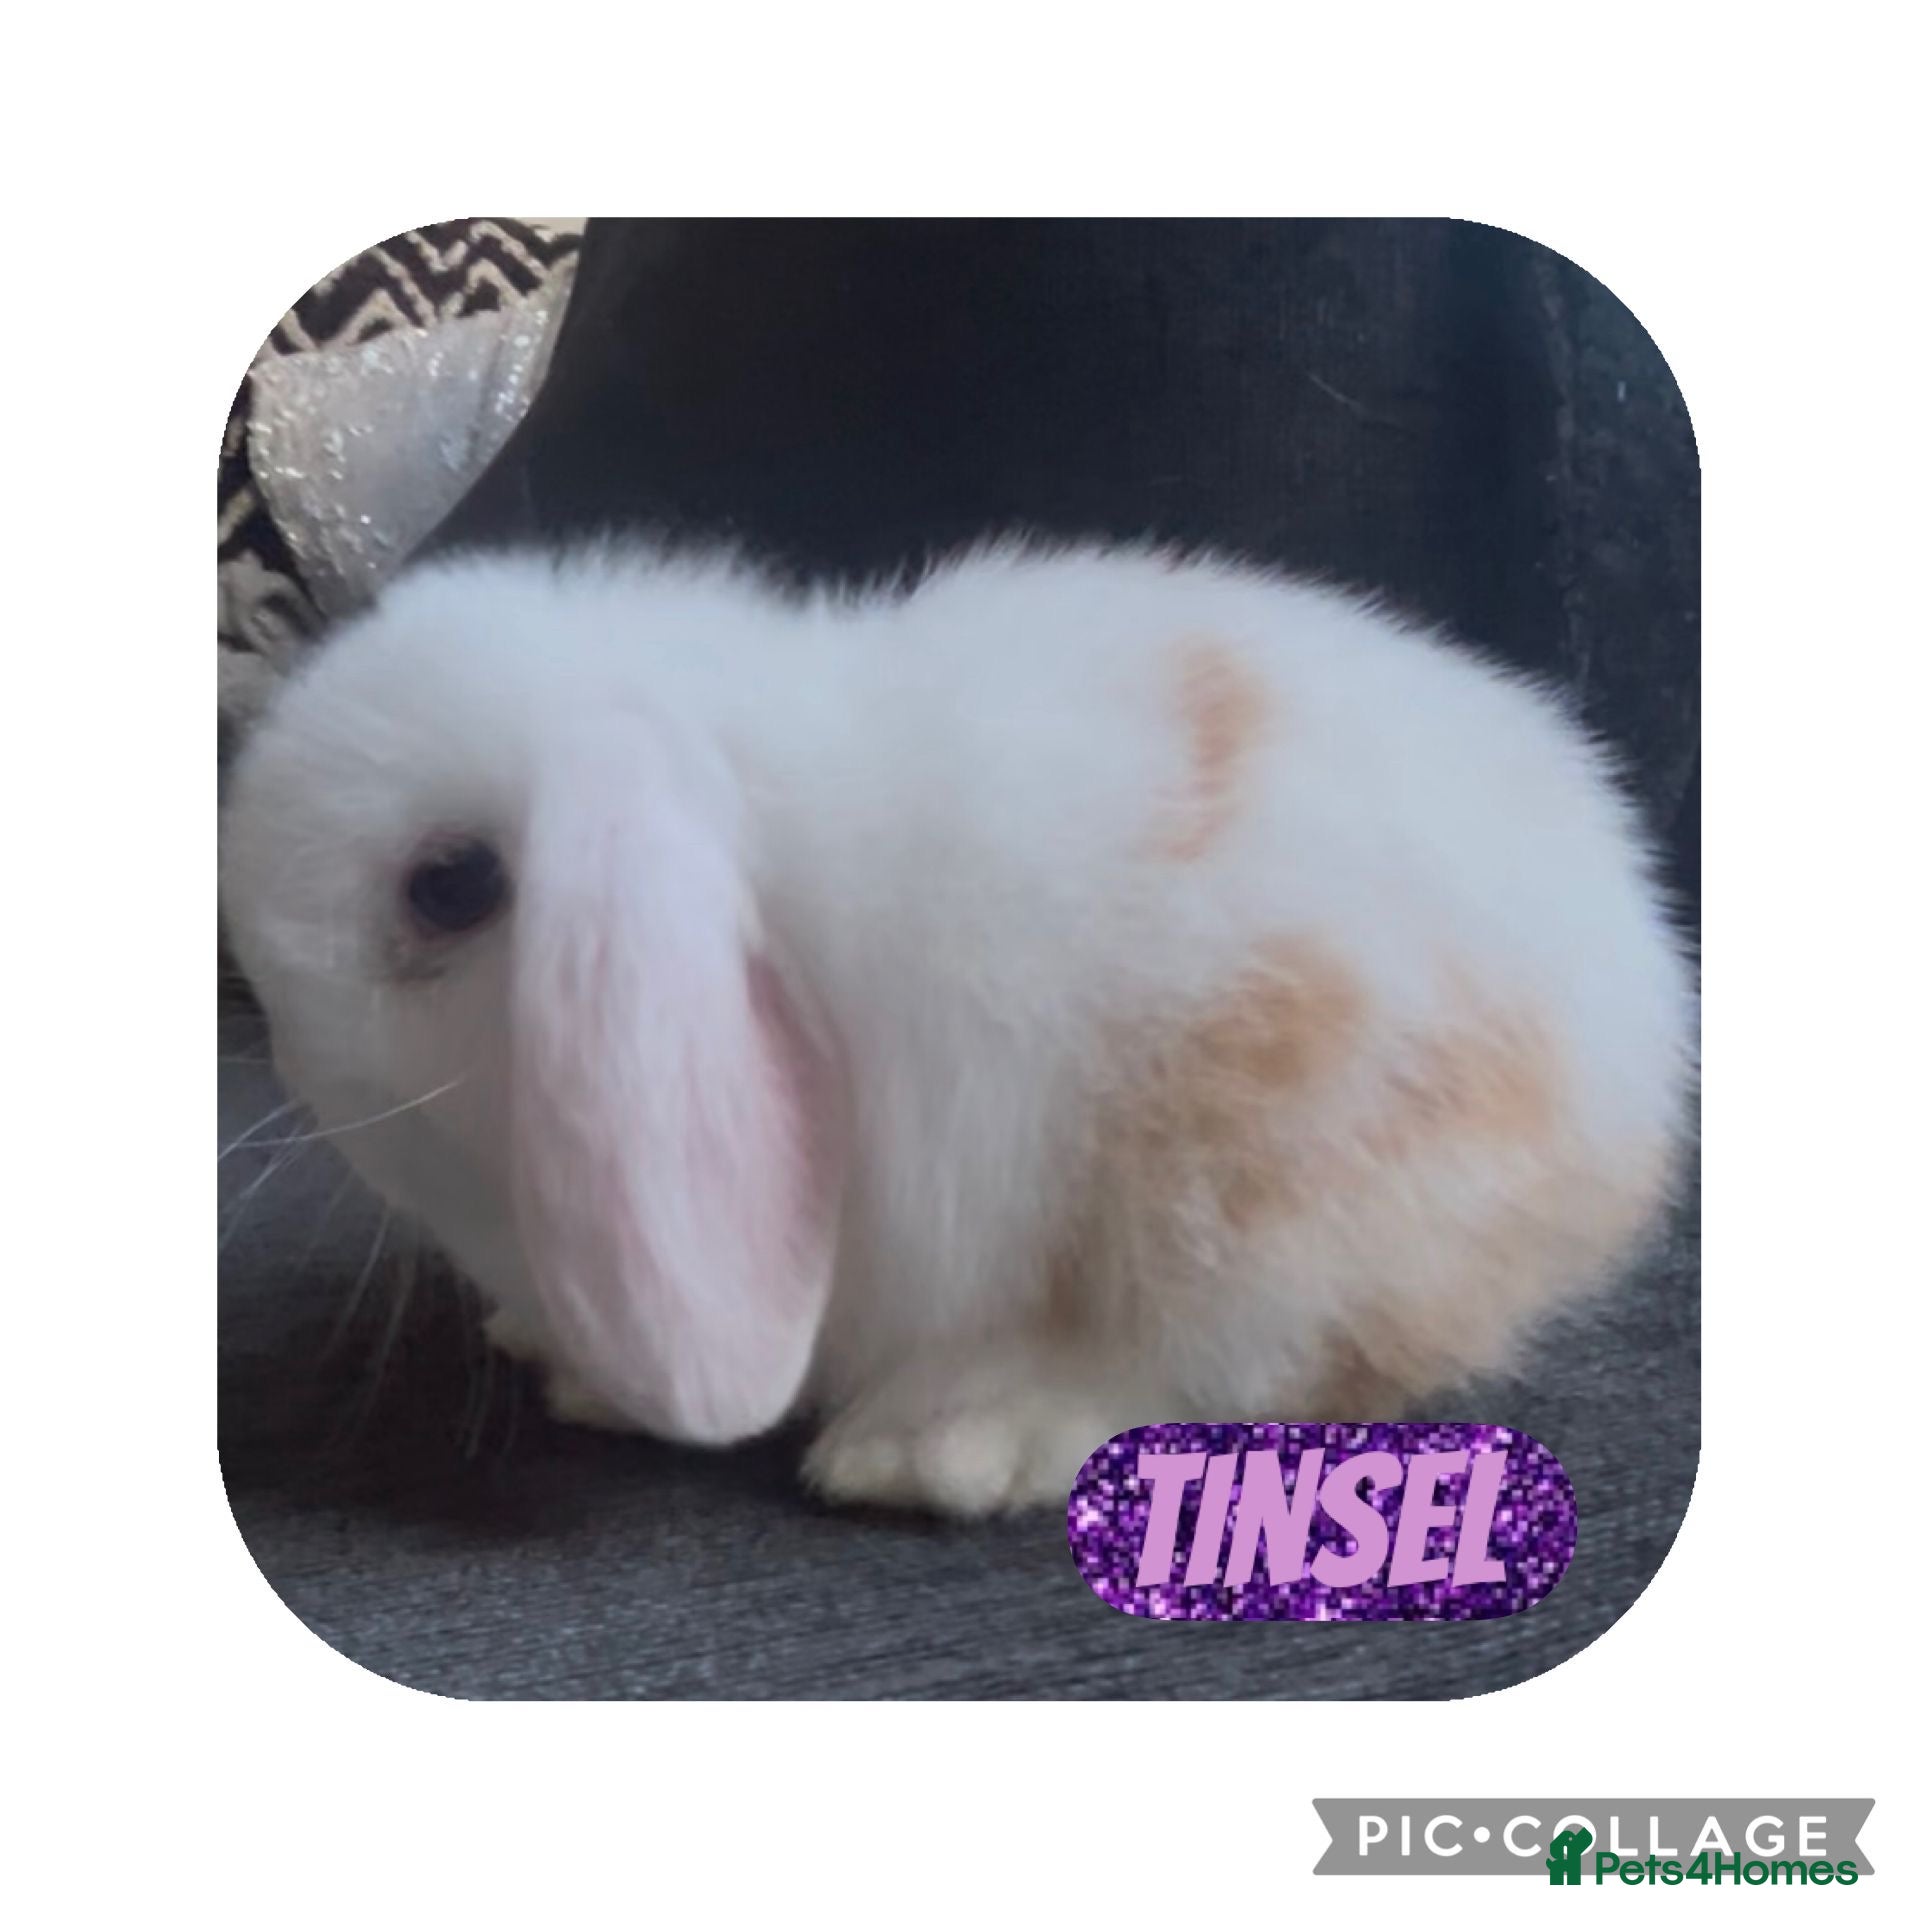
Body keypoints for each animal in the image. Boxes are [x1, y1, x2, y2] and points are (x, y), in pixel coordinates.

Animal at [219, 541, 1695, 1517]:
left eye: (450, 884)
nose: (280, 1029)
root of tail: (1636, 1030)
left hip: (1269, 1174)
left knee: (1239, 1360)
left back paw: (952, 1441)